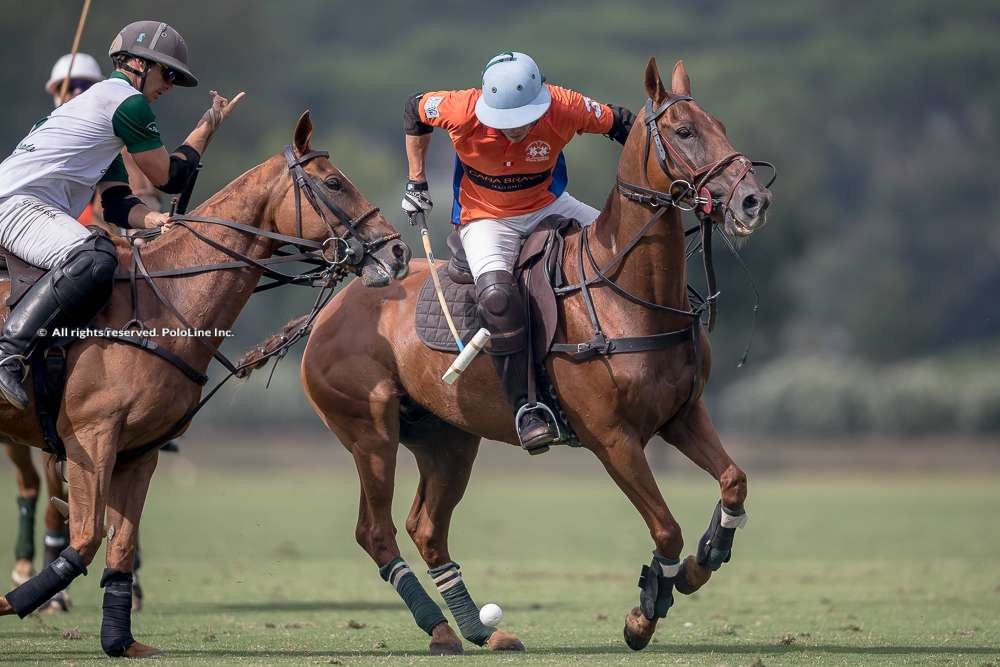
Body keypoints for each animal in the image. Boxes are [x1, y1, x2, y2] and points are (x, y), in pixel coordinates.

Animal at [0, 111, 410, 656]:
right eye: (332, 183)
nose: (398, 251)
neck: (165, 299)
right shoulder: (90, 437)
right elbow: (84, 540)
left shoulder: (139, 450)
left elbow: (118, 543)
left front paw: (122, 643)